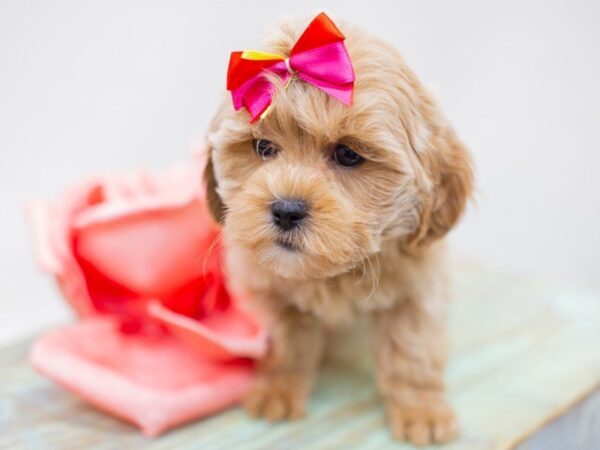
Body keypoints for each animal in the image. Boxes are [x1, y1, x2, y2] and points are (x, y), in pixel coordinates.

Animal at [204, 13, 472, 446]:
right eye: (262, 148)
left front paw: (421, 410)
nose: (286, 210)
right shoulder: (268, 290)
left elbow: (411, 351)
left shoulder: (417, 289)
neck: (337, 271)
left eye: (348, 154)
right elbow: (285, 341)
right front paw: (278, 390)